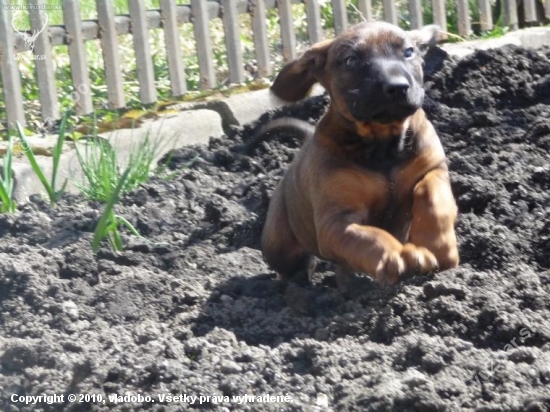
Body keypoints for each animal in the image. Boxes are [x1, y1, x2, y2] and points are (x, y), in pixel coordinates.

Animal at [260, 22, 460, 286]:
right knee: (290, 266)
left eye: (408, 52)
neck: (383, 145)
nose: (397, 87)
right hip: (279, 244)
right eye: (351, 60)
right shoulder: (336, 221)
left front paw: (437, 246)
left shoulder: (432, 168)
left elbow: (432, 198)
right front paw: (397, 255)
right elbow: (368, 237)